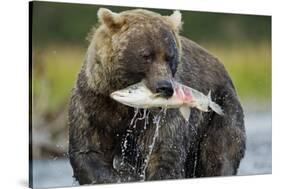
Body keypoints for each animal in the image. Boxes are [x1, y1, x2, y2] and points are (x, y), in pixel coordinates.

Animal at [68, 7, 245, 185]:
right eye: (146, 55)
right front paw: (124, 176)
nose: (165, 86)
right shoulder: (94, 103)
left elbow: (164, 153)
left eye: (170, 57)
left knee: (219, 154)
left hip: (220, 110)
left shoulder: (164, 117)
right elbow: (90, 152)